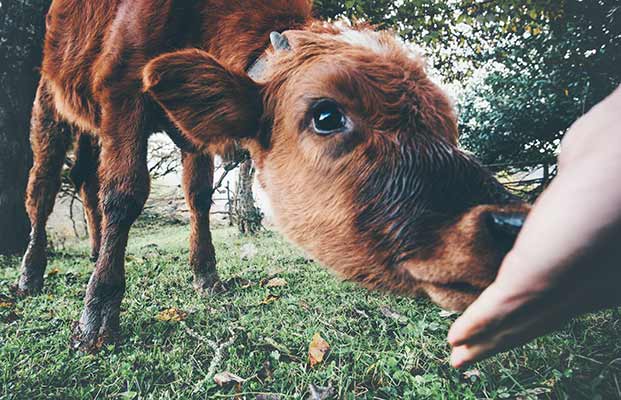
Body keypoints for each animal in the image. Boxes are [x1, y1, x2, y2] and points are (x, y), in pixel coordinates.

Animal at [15, 0, 528, 350]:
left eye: (448, 124)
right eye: (326, 116)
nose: (513, 228)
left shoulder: (190, 135)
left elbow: (198, 195)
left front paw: (206, 275)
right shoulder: (122, 96)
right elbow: (124, 193)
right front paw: (97, 314)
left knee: (84, 179)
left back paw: (95, 248)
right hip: (49, 103)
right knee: (44, 188)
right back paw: (31, 274)